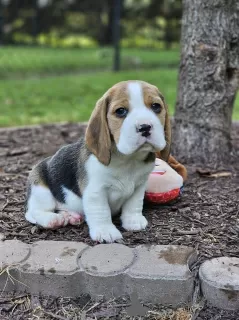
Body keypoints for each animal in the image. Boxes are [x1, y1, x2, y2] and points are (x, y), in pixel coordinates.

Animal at [25, 80, 171, 242]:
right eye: (120, 111)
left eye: (156, 106)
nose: (145, 127)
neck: (127, 159)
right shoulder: (95, 191)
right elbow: (101, 211)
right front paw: (106, 231)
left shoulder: (140, 185)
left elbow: (134, 204)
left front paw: (133, 221)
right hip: (40, 189)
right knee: (33, 212)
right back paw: (53, 219)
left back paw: (71, 216)